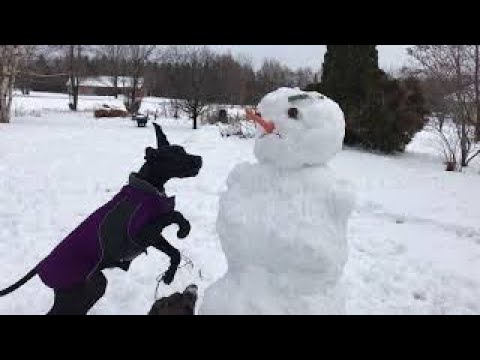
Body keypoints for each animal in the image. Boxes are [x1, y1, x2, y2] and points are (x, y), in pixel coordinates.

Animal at [0, 122, 202, 314]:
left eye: (184, 150)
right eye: (176, 156)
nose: (199, 159)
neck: (147, 187)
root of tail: (41, 265)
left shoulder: (154, 237)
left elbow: (175, 249)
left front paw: (170, 273)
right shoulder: (142, 234)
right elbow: (173, 215)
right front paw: (182, 232)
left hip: (93, 287)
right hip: (77, 291)